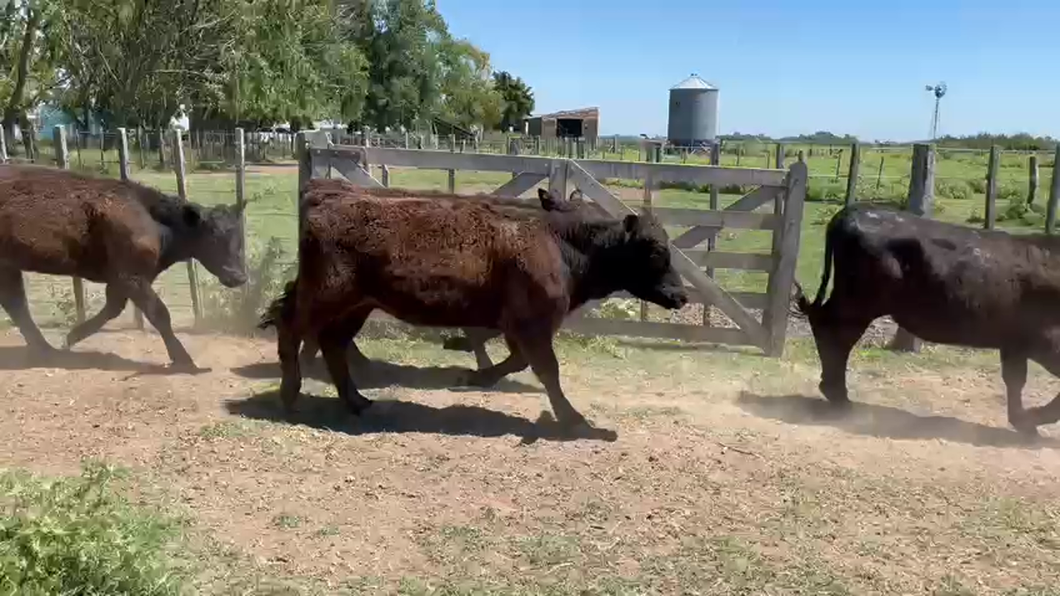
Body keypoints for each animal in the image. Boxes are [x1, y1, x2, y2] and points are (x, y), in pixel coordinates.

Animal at [0, 162, 245, 366]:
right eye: (213, 237)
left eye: (238, 236)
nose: (239, 276)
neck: (150, 217)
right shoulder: (131, 277)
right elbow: (159, 313)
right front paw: (184, 359)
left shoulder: (122, 280)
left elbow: (113, 308)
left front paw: (72, 336)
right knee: (16, 304)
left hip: (8, 267)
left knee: (16, 304)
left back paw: (45, 350)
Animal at [261, 176, 691, 426]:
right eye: (655, 251)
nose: (681, 295)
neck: (559, 240)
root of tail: (323, 195)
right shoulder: (531, 325)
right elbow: (547, 369)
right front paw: (572, 418)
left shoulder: (516, 326)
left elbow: (518, 362)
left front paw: (470, 377)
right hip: (326, 297)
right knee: (291, 327)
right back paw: (290, 395)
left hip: (358, 306)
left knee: (332, 343)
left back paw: (358, 402)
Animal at [797, 201, 1060, 434]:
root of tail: (853, 210)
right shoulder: (1044, 341)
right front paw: (1031, 420)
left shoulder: (1014, 343)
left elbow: (1015, 380)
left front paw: (1023, 421)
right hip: (858, 302)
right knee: (834, 332)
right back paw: (839, 397)